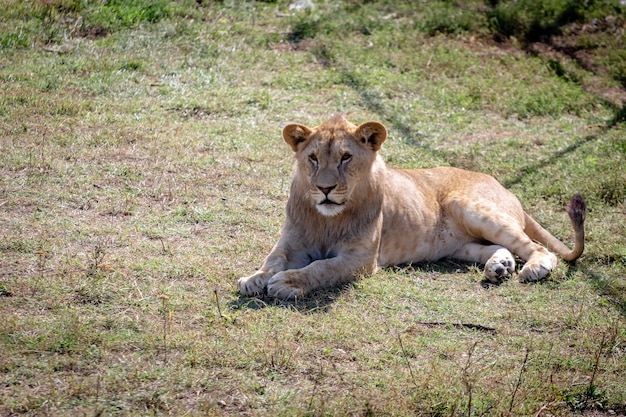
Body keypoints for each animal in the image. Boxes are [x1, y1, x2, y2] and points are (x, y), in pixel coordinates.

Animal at [236, 114, 584, 300]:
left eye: (345, 158)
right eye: (313, 158)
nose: (324, 188)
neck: (327, 220)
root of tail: (503, 185)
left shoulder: (362, 258)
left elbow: (321, 267)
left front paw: (288, 282)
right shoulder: (292, 242)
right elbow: (273, 259)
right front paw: (255, 278)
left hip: (466, 205)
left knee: (537, 247)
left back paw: (535, 267)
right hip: (460, 246)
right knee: (501, 247)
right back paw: (499, 267)